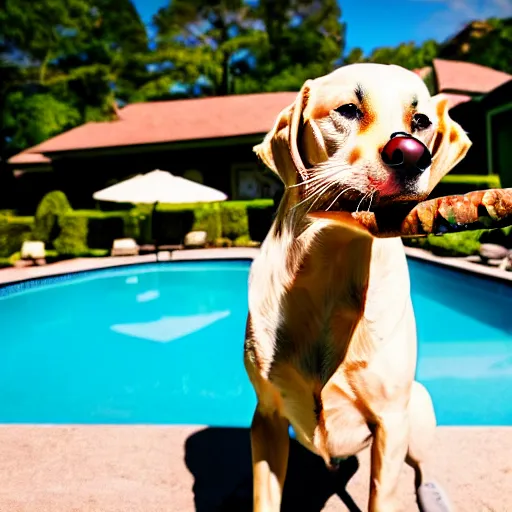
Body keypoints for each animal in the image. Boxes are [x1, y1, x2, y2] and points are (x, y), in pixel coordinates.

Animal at [244, 64, 472, 512]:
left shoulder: (391, 424)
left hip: (417, 410)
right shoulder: (266, 417)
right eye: (348, 109)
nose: (412, 153)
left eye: (421, 122)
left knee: (422, 467)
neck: (331, 264)